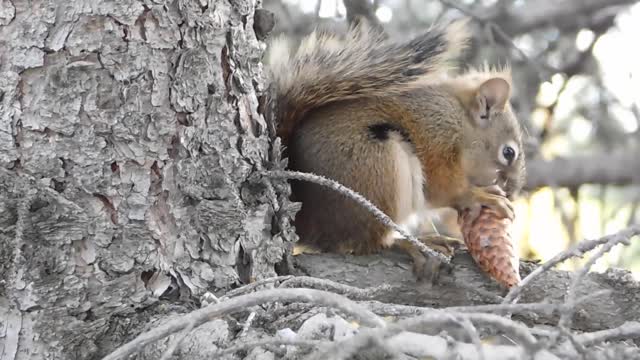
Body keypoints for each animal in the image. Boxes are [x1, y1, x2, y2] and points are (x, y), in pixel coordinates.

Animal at [264, 19, 524, 278]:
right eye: (508, 153)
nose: (513, 192)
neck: (459, 119)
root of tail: (308, 224)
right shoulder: (435, 137)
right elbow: (443, 189)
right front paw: (479, 196)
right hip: (379, 169)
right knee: (369, 242)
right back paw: (412, 242)